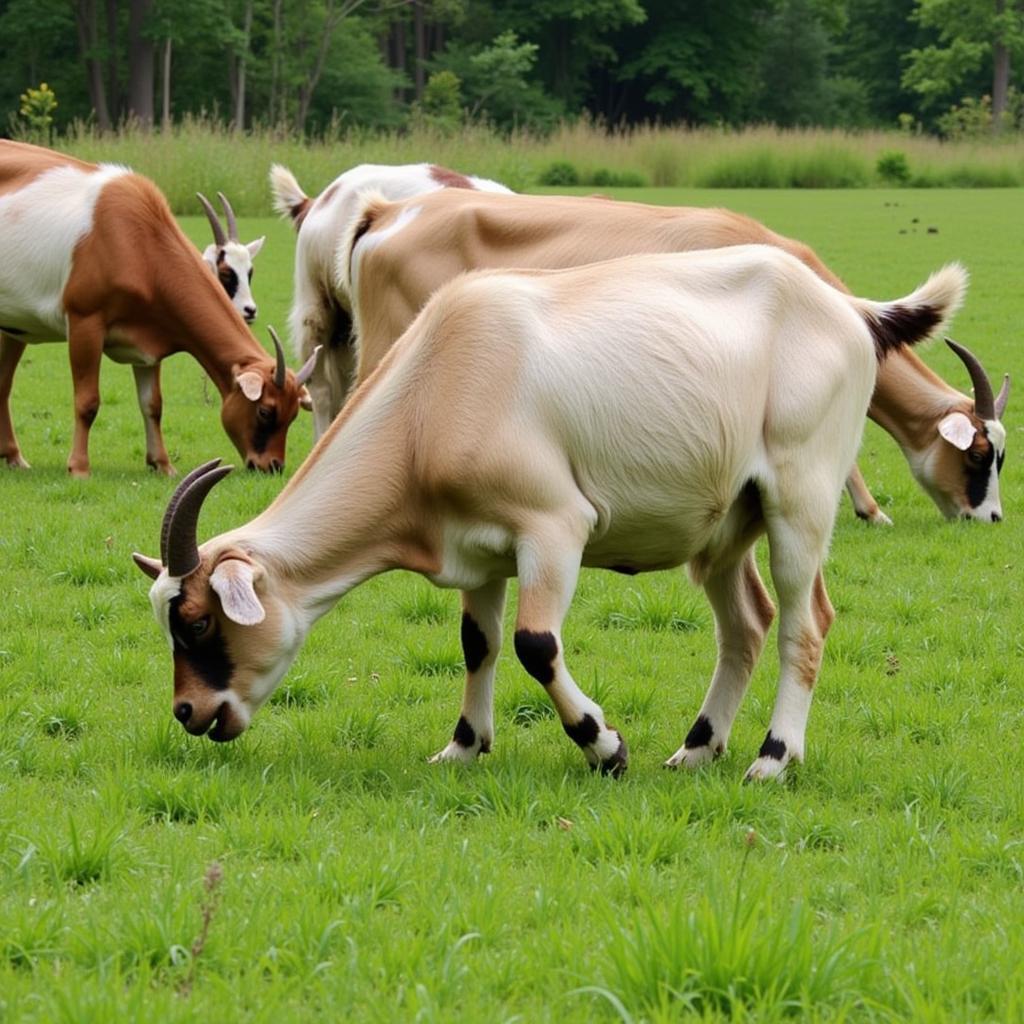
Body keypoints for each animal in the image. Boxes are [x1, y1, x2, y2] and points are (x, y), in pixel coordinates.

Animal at [132, 243, 962, 778]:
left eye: (197, 620)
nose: (188, 713)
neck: (437, 387)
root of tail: (850, 311)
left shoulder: (554, 528)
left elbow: (535, 644)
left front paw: (606, 747)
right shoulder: (478, 552)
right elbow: (478, 644)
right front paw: (462, 747)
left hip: (799, 498)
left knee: (803, 621)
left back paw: (772, 759)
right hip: (727, 527)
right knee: (746, 624)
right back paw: (696, 749)